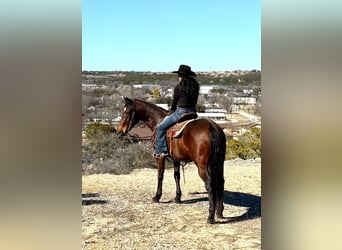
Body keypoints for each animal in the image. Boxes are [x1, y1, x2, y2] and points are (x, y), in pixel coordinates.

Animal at [116, 96, 226, 224]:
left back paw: (210, 216)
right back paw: (219, 212)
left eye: (127, 112)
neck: (158, 121)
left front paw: (157, 196)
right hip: (219, 162)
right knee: (220, 182)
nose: (119, 131)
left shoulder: (160, 156)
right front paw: (177, 197)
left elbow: (160, 175)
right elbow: (176, 176)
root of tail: (212, 127)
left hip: (202, 165)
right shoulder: (176, 159)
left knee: (209, 184)